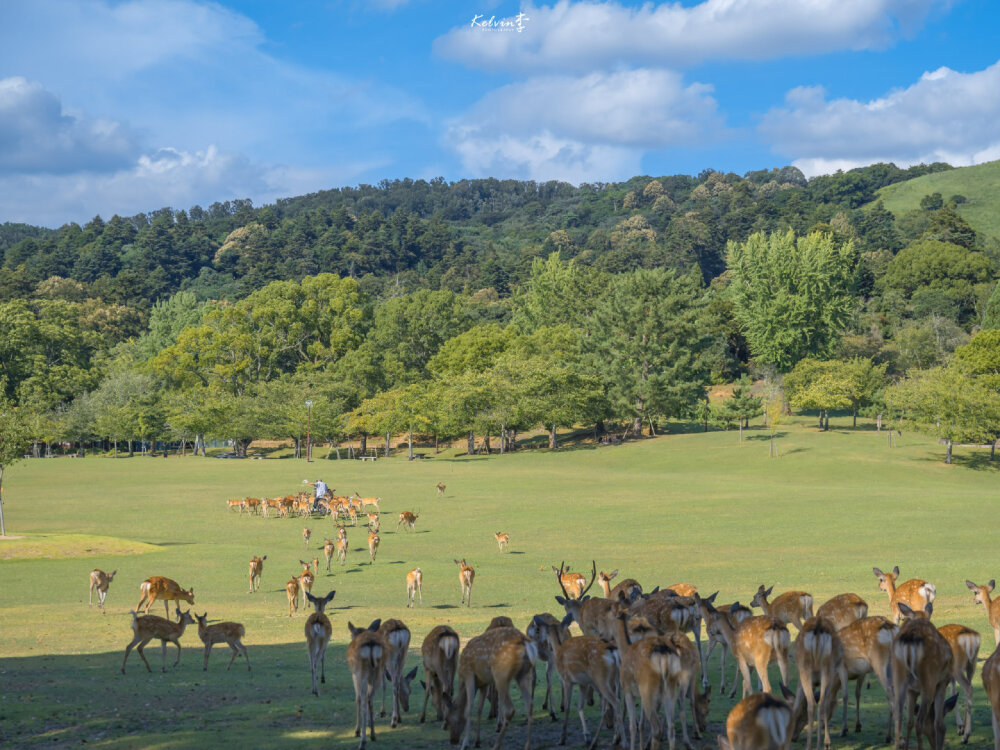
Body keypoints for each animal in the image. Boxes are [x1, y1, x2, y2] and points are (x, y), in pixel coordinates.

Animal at [892, 604, 952, 750]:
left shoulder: (911, 690)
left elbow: (909, 722)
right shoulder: (943, 682)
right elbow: (939, 724)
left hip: (898, 678)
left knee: (899, 718)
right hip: (928, 681)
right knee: (920, 721)